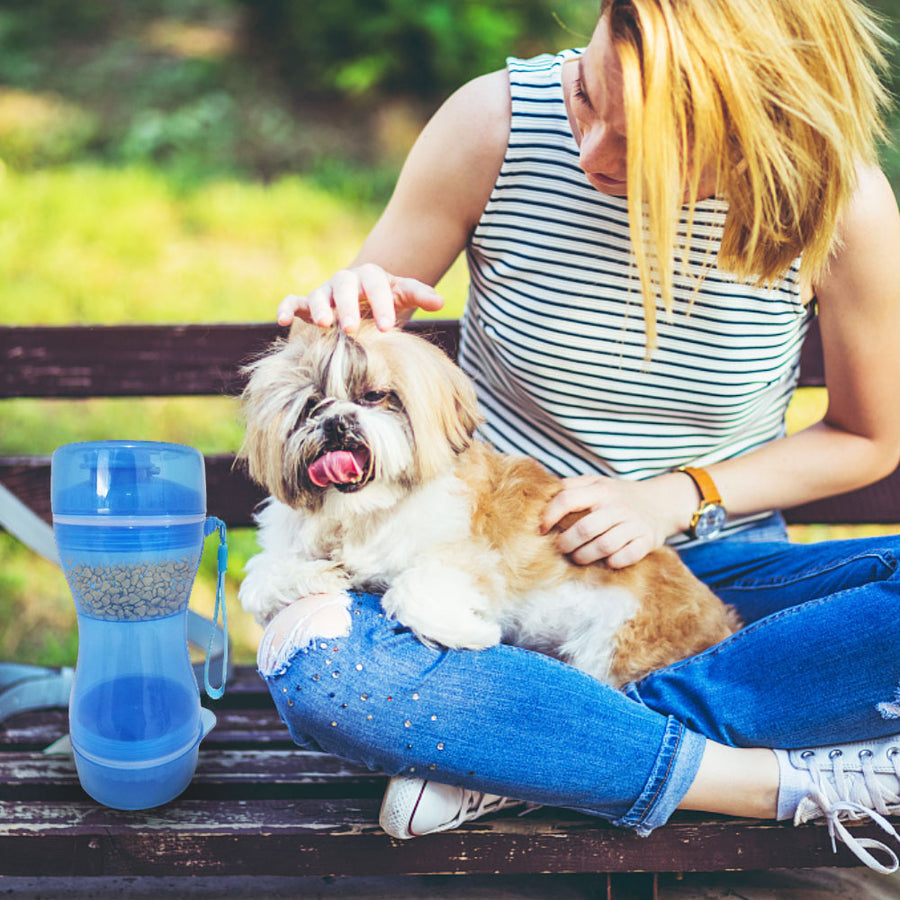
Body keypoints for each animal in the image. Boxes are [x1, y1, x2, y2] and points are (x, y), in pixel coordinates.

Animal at [237, 326, 740, 688]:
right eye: (311, 406)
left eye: (375, 396)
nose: (337, 422)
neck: (365, 512)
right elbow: (259, 583)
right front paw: (324, 575)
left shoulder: (473, 558)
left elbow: (411, 589)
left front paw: (472, 634)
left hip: (616, 644)